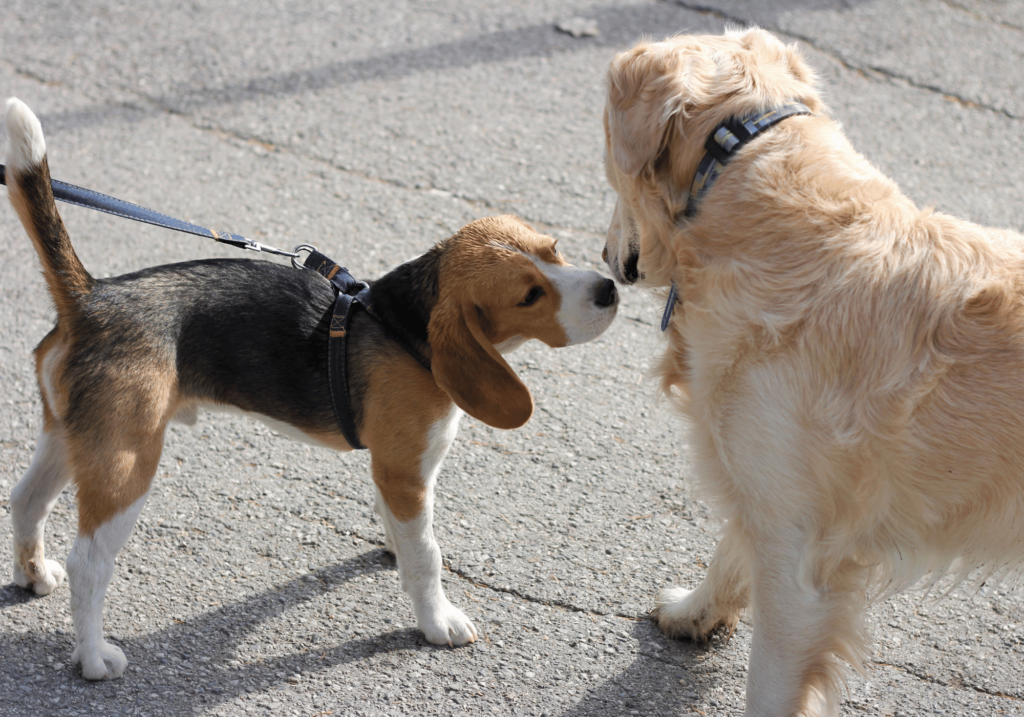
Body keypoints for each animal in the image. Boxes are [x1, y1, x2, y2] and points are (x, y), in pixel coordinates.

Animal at [4, 97, 614, 680]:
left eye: (556, 249)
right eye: (529, 296)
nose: (610, 289)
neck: (402, 325)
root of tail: (92, 297)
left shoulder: (394, 471)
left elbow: (403, 531)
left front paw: (395, 547)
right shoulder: (407, 471)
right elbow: (428, 555)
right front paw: (437, 621)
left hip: (71, 437)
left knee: (25, 500)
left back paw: (33, 575)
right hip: (125, 464)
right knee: (88, 564)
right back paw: (93, 658)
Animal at [598, 25, 1024, 712]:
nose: (605, 256)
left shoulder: (801, 562)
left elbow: (770, 682)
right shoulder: (768, 487)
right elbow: (730, 549)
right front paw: (694, 610)